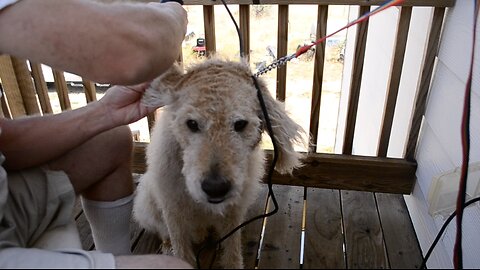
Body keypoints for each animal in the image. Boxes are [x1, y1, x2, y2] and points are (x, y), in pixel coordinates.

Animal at [132, 57, 304, 268]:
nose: (215, 188)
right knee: (162, 230)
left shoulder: (234, 214)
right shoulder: (173, 211)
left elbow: (232, 254)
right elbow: (181, 250)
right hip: (148, 202)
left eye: (240, 124)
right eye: (191, 123)